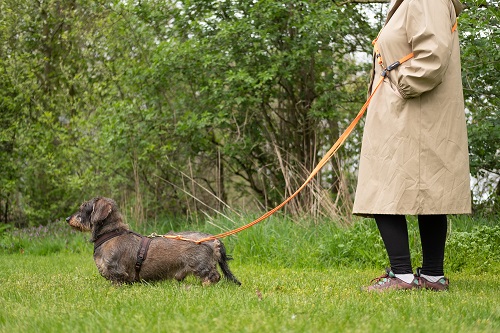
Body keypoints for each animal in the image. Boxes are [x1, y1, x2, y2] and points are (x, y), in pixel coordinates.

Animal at [65, 196, 241, 284]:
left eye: (84, 207)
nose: (67, 219)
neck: (111, 233)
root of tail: (213, 239)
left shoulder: (117, 272)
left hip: (200, 264)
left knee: (213, 277)